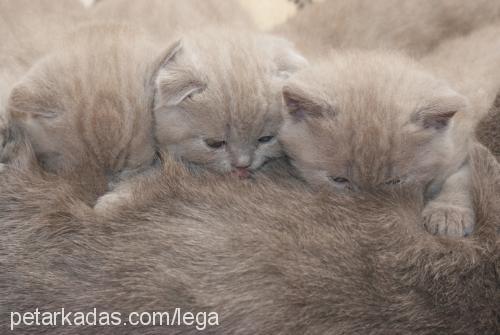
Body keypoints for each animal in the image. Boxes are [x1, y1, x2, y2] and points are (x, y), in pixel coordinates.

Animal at [280, 51, 478, 238]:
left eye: (394, 181)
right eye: (339, 180)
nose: (369, 212)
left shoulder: (461, 145)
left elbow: (462, 177)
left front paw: (449, 212)